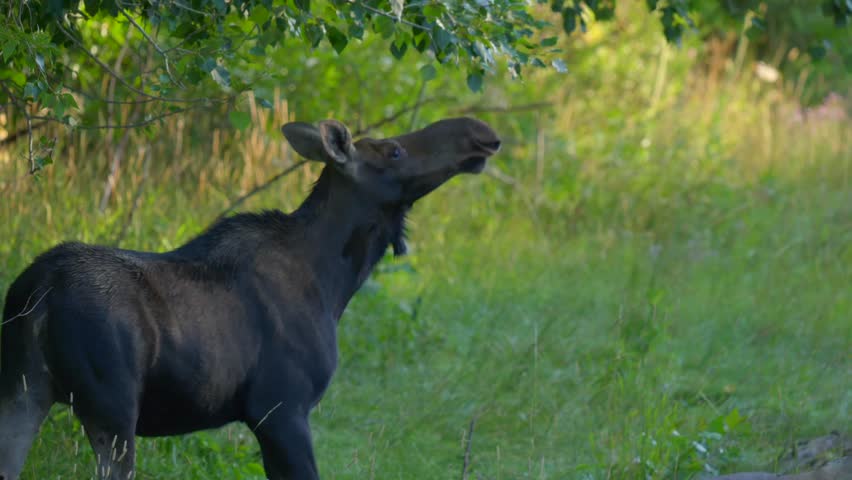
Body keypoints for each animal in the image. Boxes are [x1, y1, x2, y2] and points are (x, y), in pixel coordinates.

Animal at [0, 117, 500, 479]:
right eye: (394, 150)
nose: (480, 133)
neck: (335, 283)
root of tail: (37, 293)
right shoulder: (281, 408)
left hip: (25, 390)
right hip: (112, 407)